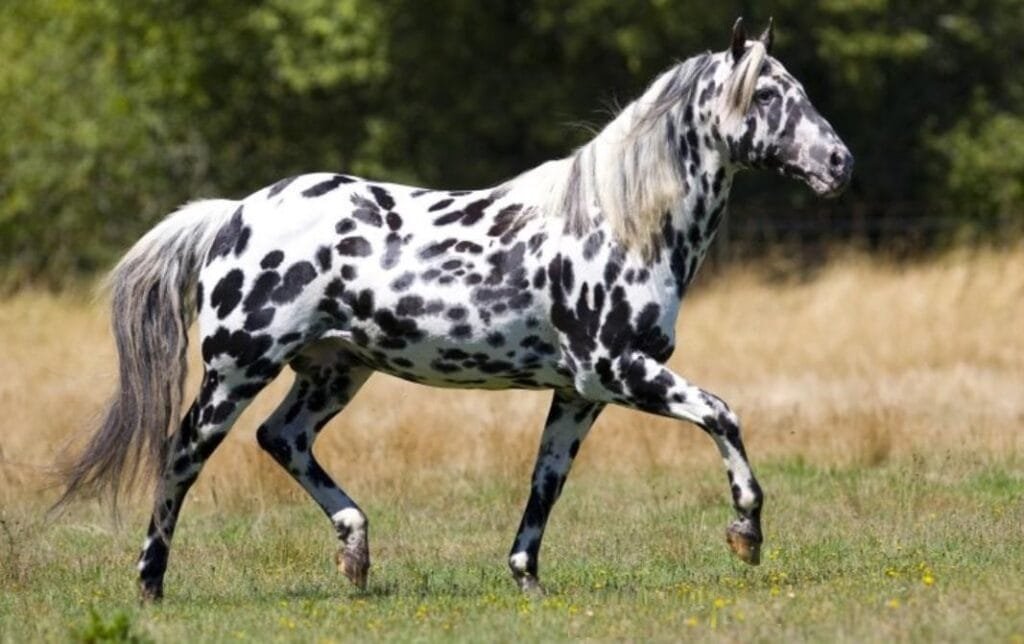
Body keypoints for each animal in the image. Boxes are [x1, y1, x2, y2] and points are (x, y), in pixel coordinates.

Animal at [59, 18, 853, 600]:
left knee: (282, 439)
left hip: (335, 370)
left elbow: (546, 482)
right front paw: (746, 534)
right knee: (182, 453)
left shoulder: (581, 392)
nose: (840, 163)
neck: (620, 223)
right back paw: (151, 585)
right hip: (237, 369)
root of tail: (233, 215)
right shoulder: (616, 370)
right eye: (767, 95)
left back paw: (355, 552)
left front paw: (526, 579)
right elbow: (722, 414)